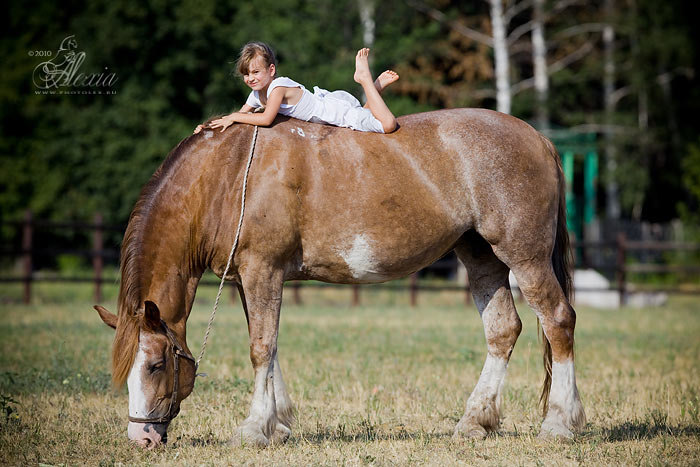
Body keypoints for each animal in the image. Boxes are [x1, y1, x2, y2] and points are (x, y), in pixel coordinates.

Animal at [94, 109, 584, 450]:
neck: (226, 175)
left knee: (558, 320)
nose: (142, 439)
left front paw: (253, 429)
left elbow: (260, 349)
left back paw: (560, 423)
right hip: (480, 255)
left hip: (524, 256)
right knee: (503, 329)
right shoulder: (250, 278)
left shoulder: (262, 270)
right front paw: (279, 424)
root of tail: (539, 139)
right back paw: (474, 422)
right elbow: (270, 347)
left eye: (156, 365)